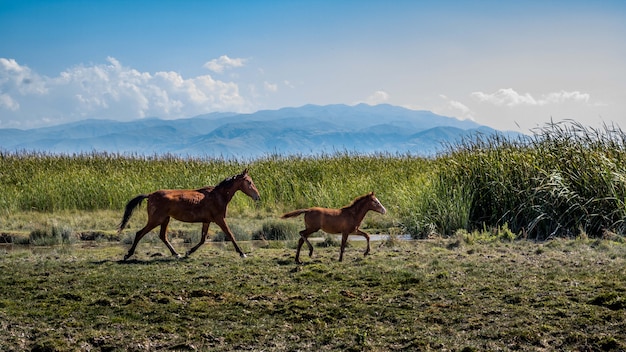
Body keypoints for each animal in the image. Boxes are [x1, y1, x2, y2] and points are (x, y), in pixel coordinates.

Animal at [117, 169, 258, 260]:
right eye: (249, 182)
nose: (258, 196)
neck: (218, 196)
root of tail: (150, 195)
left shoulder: (207, 221)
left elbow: (203, 239)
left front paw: (188, 252)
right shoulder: (219, 219)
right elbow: (230, 235)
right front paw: (242, 253)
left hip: (165, 219)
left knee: (163, 236)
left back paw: (176, 254)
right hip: (156, 220)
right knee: (139, 233)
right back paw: (128, 254)